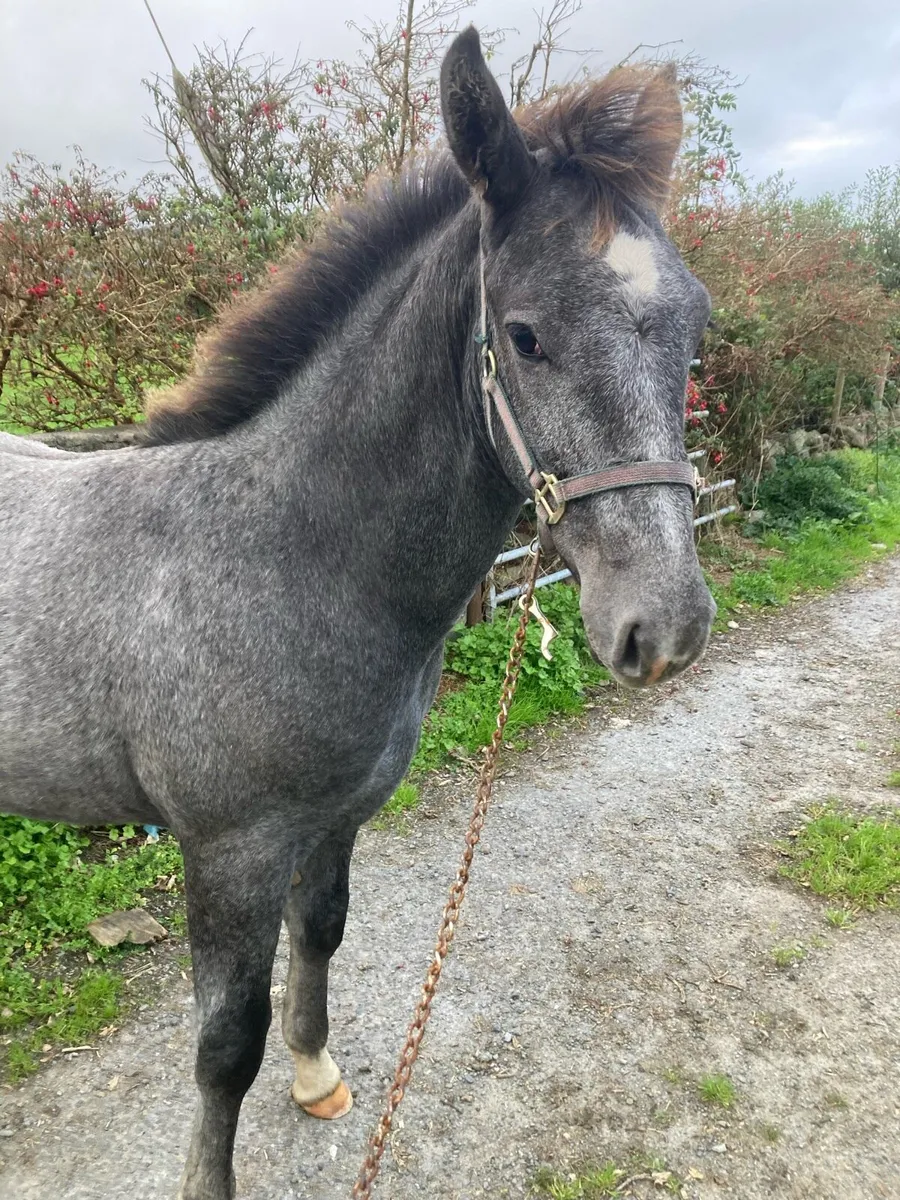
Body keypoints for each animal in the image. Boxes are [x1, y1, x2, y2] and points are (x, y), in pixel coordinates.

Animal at [0, 28, 715, 1199]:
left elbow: (323, 934)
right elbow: (222, 1045)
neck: (283, 553)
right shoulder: (230, 852)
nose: (666, 630)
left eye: (695, 322)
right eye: (526, 336)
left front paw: (317, 1076)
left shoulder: (338, 816)